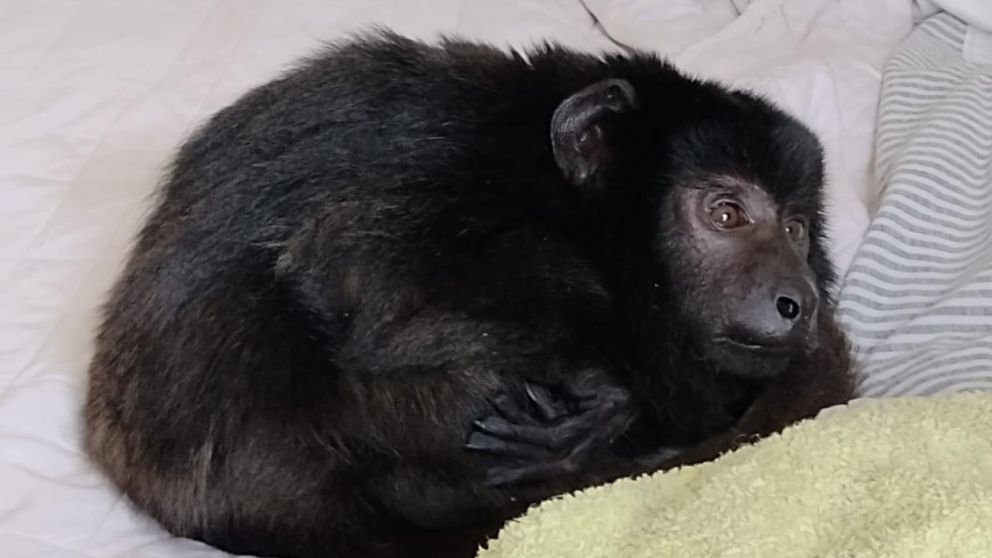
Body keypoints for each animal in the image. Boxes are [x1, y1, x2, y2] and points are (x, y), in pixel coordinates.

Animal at [82, 30, 855, 558]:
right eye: (725, 214)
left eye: (794, 227)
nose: (799, 298)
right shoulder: (450, 167)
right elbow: (350, 273)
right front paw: (612, 396)